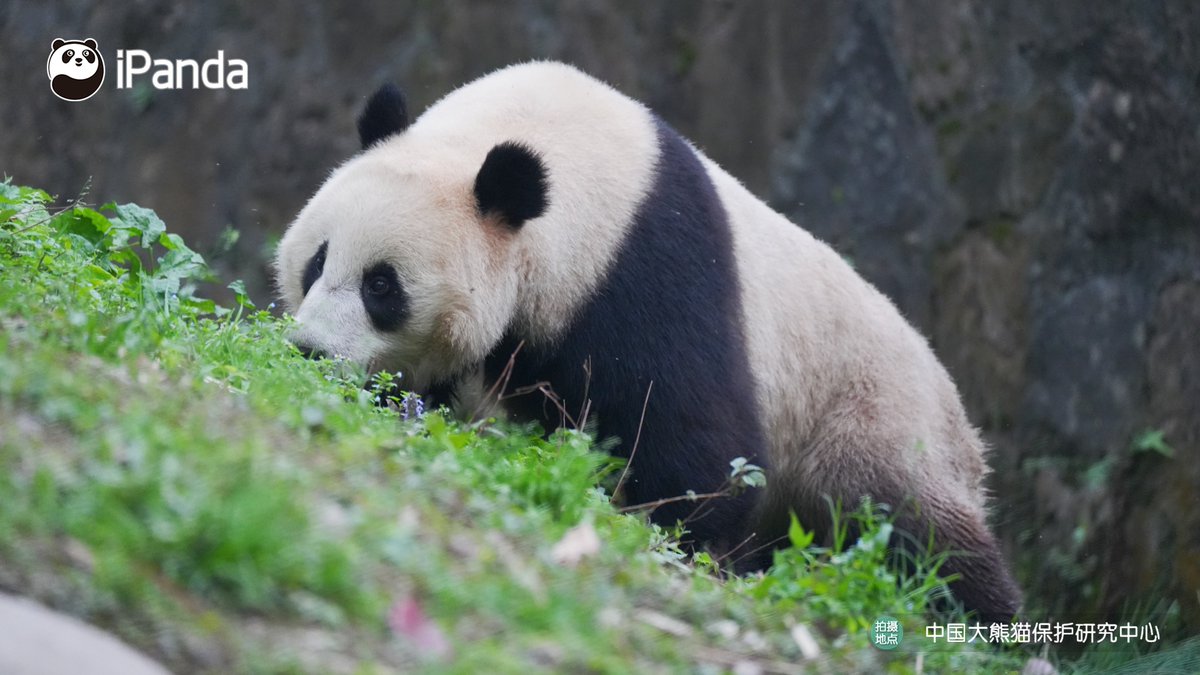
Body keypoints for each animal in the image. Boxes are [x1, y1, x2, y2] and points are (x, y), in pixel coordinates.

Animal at [276, 61, 1022, 622]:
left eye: (382, 286)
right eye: (317, 260)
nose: (311, 350)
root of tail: (964, 425)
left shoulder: (648, 270)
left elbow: (698, 438)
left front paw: (681, 534)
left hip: (869, 417)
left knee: (909, 527)